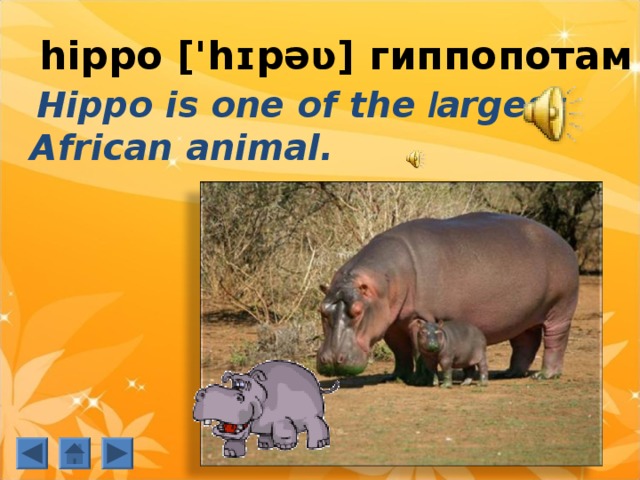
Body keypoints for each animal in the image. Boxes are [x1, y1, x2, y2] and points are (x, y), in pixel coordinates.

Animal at [193, 360, 339, 458]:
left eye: (240, 398)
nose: (202, 393)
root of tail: (315, 381)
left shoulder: (281, 418)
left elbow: (284, 431)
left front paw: (285, 446)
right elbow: (235, 438)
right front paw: (230, 453)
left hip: (312, 413)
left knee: (316, 423)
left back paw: (319, 444)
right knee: (266, 433)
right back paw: (265, 445)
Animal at [317, 212, 579, 382]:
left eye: (357, 311)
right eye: (321, 310)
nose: (331, 360)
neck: (386, 280)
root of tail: (561, 240)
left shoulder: (420, 316)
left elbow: (418, 347)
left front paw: (421, 379)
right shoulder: (390, 323)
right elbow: (401, 351)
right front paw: (397, 377)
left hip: (560, 309)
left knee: (555, 341)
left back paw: (544, 376)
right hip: (525, 315)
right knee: (526, 342)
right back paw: (510, 373)